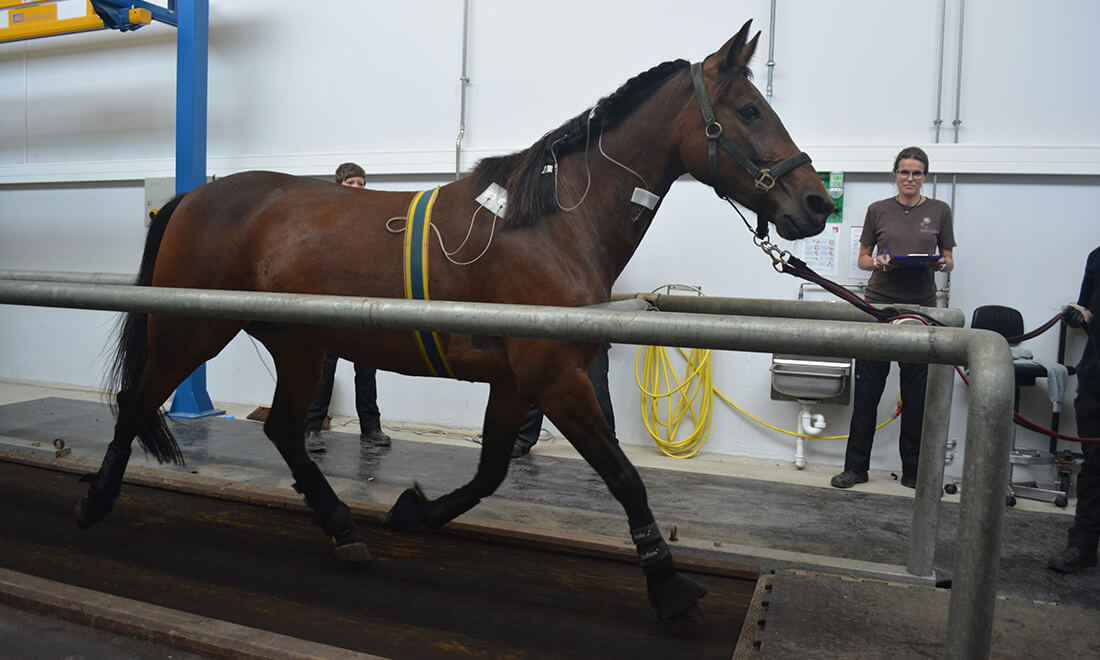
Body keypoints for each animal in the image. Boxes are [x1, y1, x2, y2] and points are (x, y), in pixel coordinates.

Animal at [77, 21, 827, 624]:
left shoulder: (519, 380)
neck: (554, 222)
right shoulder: (554, 376)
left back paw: (344, 529)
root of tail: (191, 196)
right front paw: (667, 586)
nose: (816, 203)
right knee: (136, 401)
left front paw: (415, 511)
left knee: (284, 430)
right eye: (749, 109)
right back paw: (97, 502)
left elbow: (492, 471)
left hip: (298, 345)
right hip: (191, 331)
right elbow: (622, 476)